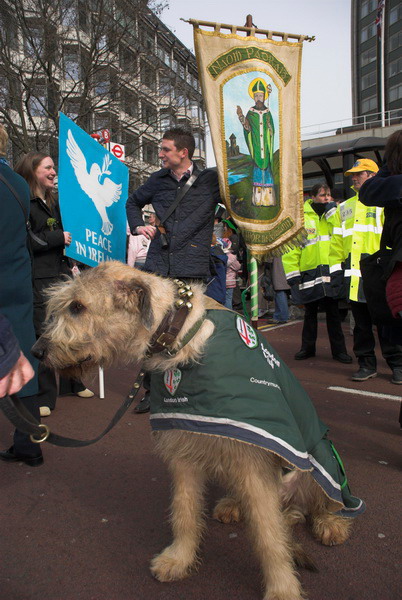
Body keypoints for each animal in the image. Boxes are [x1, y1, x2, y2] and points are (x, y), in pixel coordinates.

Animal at [32, 262, 364, 600]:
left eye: (77, 306)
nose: (36, 352)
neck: (178, 335)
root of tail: (290, 504)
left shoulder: (251, 458)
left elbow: (268, 534)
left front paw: (282, 589)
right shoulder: (183, 445)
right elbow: (184, 510)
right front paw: (179, 558)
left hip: (320, 457)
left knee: (332, 500)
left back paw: (332, 522)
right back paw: (233, 504)